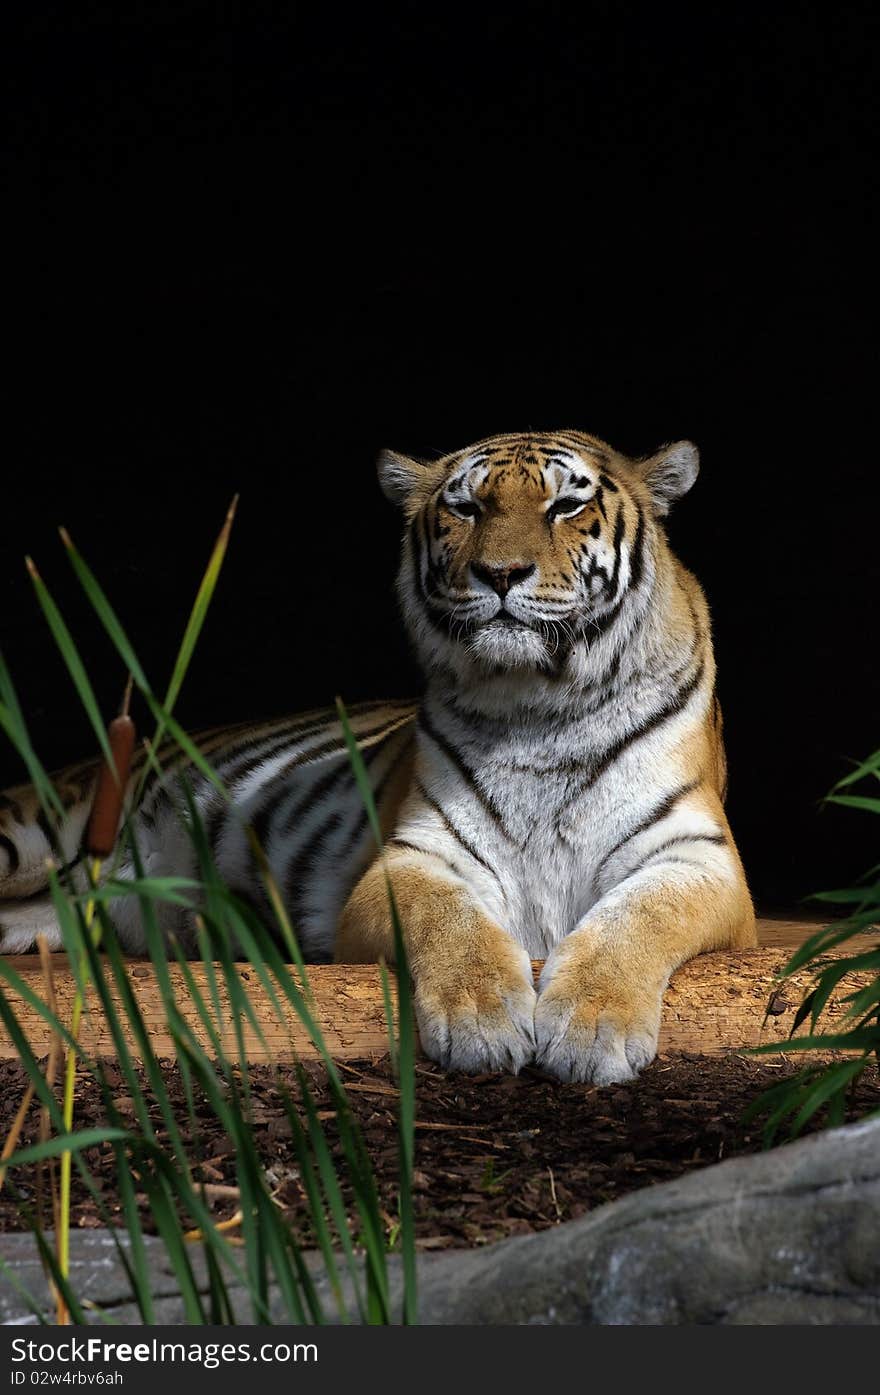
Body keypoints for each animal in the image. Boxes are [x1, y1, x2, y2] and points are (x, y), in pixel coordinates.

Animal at [0, 429, 758, 1082]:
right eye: (466, 506)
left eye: (566, 505)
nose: (500, 574)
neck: (540, 705)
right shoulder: (412, 856)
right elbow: (447, 919)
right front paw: (484, 1020)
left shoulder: (696, 857)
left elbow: (638, 918)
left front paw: (591, 1027)